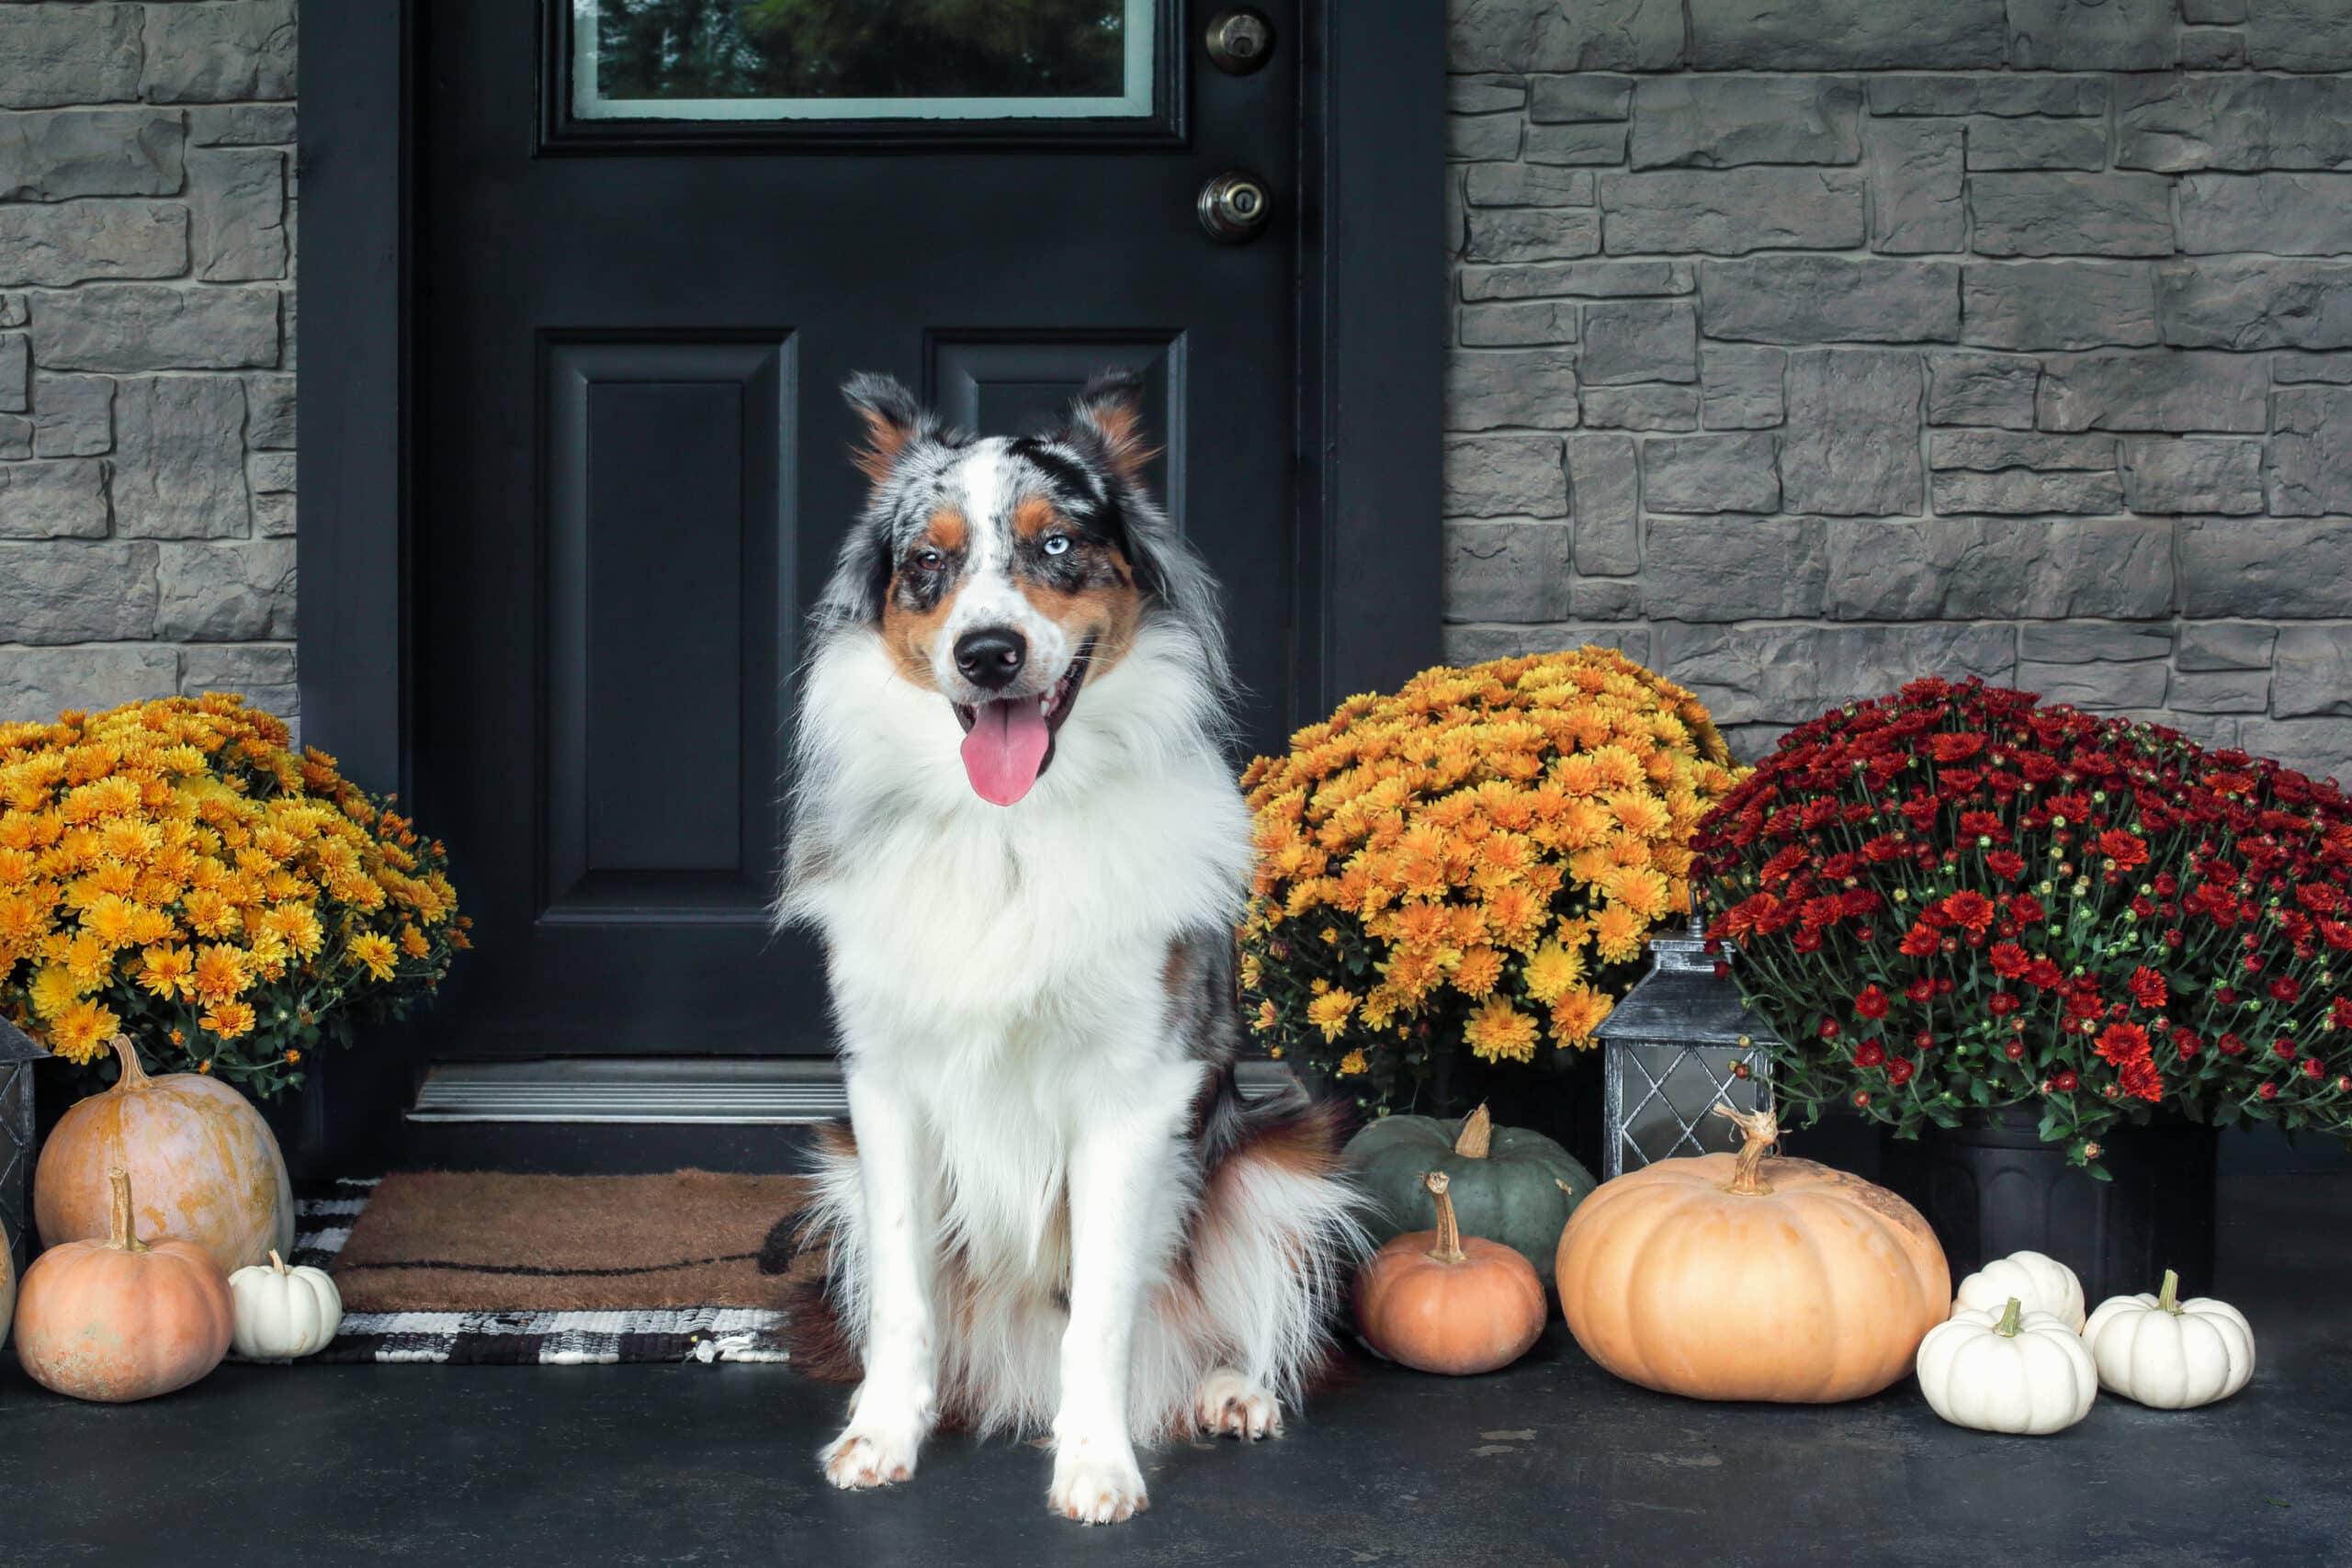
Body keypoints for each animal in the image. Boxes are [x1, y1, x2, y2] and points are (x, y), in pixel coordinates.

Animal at [775, 368, 1363, 1523]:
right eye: (927, 564)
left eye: (1056, 545)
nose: (986, 653)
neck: (1011, 830)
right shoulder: (884, 1091)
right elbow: (906, 1296)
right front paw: (883, 1433)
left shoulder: (1133, 1092)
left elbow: (1100, 1308)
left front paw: (1095, 1462)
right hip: (839, 1169)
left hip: (1278, 1163)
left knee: (1228, 1325)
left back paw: (1226, 1391)